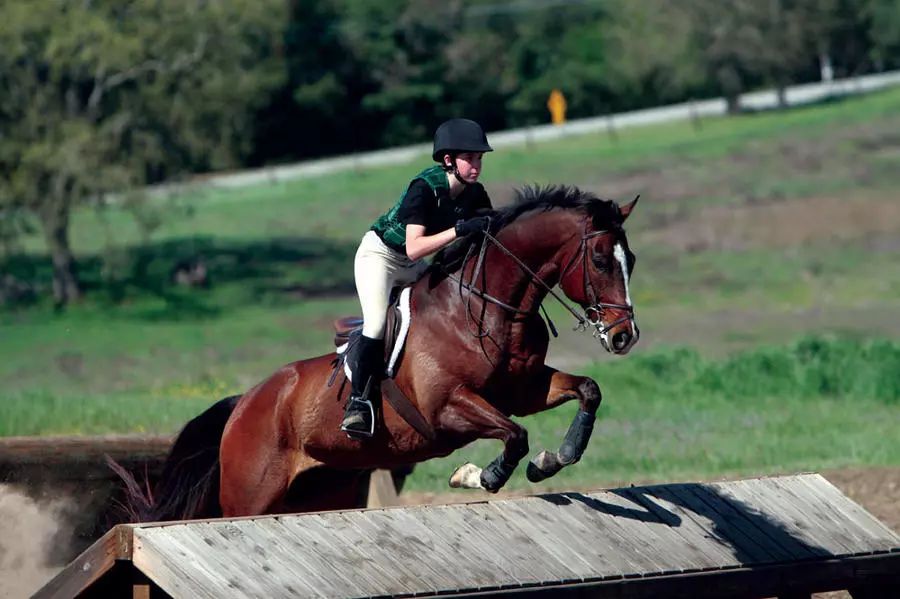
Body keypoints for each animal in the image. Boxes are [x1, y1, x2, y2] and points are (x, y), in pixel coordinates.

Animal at [116, 185, 640, 524]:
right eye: (599, 261)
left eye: (630, 261)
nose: (623, 337)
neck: (487, 309)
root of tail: (242, 403)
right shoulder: (447, 408)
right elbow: (515, 435)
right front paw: (477, 475)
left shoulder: (523, 391)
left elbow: (586, 391)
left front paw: (554, 459)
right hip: (249, 495)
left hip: (321, 490)